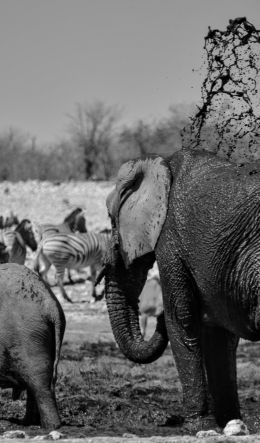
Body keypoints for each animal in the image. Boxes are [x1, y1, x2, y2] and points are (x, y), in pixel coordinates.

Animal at [104, 149, 260, 434]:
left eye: (112, 220)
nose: (156, 315)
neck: (160, 164)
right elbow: (218, 333)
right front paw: (231, 424)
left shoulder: (170, 240)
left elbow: (182, 317)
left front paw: (200, 426)